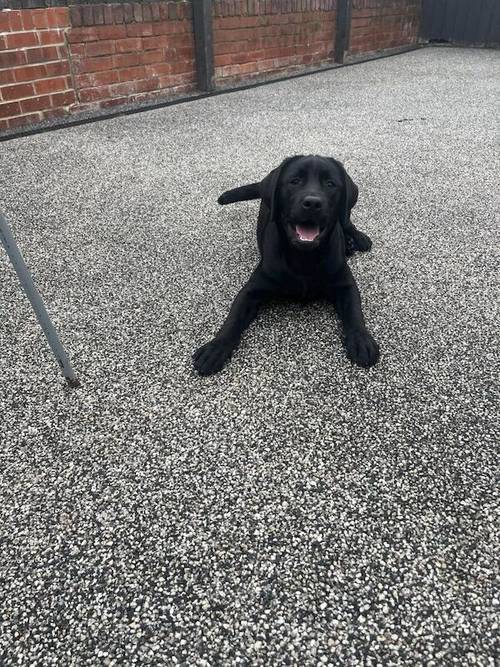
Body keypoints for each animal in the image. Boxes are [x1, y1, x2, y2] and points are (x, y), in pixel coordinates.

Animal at [193, 154, 380, 378]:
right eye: (294, 181)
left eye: (330, 184)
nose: (312, 203)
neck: (303, 258)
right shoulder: (253, 289)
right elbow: (233, 318)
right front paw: (215, 347)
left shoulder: (345, 283)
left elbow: (354, 311)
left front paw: (361, 340)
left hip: (345, 217)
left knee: (347, 222)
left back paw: (357, 239)